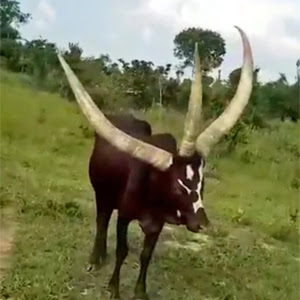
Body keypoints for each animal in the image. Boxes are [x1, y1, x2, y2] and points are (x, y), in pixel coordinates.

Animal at [56, 26, 253, 300]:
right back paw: (96, 258)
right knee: (101, 221)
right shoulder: (124, 216)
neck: (153, 190)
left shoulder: (156, 224)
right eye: (177, 186)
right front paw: (114, 289)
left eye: (202, 183)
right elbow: (123, 251)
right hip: (102, 193)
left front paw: (140, 292)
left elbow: (145, 255)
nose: (202, 223)